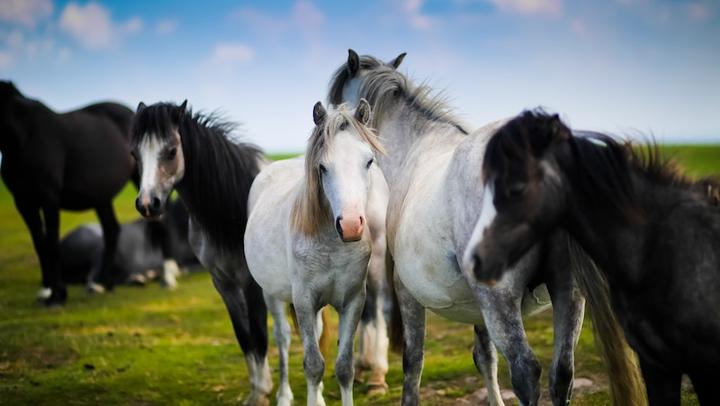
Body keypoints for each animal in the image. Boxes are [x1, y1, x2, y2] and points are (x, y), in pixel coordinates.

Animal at [0, 81, 134, 306]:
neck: (25, 136)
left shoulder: (49, 199)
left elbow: (52, 245)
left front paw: (57, 295)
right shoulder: (23, 201)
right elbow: (40, 245)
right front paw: (46, 290)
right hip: (101, 198)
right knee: (111, 230)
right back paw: (104, 284)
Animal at [130, 101, 271, 405]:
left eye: (171, 151)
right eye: (134, 154)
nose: (148, 204)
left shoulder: (252, 285)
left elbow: (259, 334)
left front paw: (263, 393)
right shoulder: (223, 284)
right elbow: (244, 336)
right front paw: (256, 391)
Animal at [244, 100, 388, 406]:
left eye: (369, 161)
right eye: (322, 167)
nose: (350, 225)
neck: (332, 245)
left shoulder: (353, 301)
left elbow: (344, 367)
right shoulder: (304, 301)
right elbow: (313, 364)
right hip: (272, 295)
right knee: (283, 339)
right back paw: (284, 396)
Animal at [327, 50, 592, 406]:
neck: (416, 147)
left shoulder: (406, 289)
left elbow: (413, 360)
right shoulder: (477, 308)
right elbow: (485, 358)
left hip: (500, 300)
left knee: (526, 371)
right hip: (568, 292)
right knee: (562, 374)